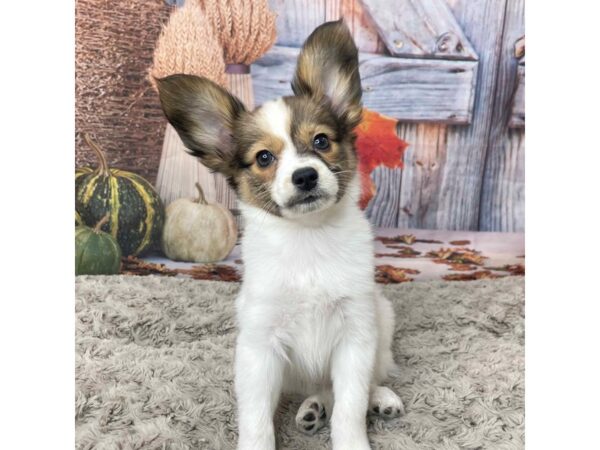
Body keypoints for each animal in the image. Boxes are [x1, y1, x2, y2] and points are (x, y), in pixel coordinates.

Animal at [157, 20, 406, 450]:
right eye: (264, 158)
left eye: (321, 141)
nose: (305, 176)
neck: (308, 238)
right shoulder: (260, 346)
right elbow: (257, 419)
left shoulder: (355, 335)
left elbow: (350, 406)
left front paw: (353, 437)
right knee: (320, 393)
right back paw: (312, 409)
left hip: (381, 321)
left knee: (357, 385)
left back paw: (377, 399)